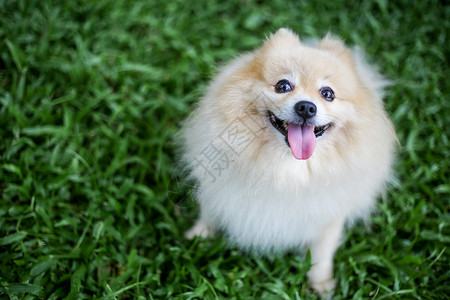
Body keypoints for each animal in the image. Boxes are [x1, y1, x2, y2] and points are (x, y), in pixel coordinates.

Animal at [181, 28, 396, 298]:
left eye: (328, 93)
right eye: (283, 86)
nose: (306, 107)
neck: (284, 168)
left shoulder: (328, 214)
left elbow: (322, 252)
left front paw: (321, 283)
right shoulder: (220, 190)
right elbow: (209, 213)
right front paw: (198, 237)